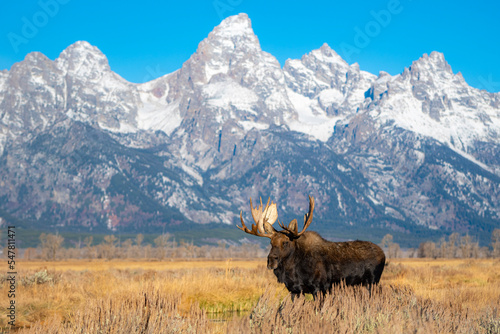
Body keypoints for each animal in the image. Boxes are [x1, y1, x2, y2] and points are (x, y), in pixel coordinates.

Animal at [238, 194, 386, 298]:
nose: (271, 260)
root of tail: (383, 253)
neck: (293, 269)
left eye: (285, 242)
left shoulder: (319, 288)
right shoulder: (295, 290)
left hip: (372, 282)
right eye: (270, 243)